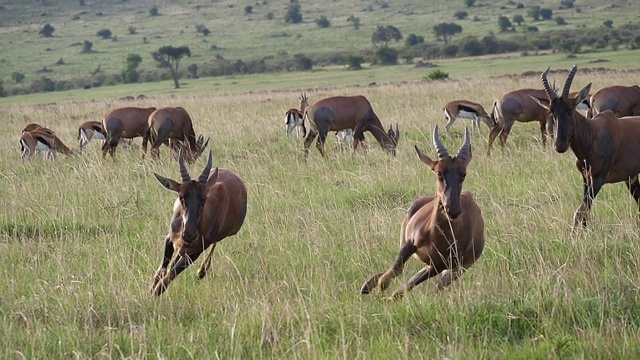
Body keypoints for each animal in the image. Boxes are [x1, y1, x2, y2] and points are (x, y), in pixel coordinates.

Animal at [151, 150, 249, 296]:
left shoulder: (196, 252)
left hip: (226, 234)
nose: (189, 235)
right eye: (181, 197)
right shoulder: (169, 239)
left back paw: (201, 272)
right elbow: (161, 270)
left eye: (204, 198)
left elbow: (168, 278)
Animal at [360, 125, 484, 300]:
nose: (453, 210)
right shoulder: (410, 244)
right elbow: (394, 271)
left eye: (463, 173)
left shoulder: (439, 266)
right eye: (439, 172)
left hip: (453, 270)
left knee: (426, 284)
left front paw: (384, 296)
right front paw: (376, 290)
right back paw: (366, 286)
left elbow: (401, 286)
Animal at [536, 64, 640, 228]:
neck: (593, 134)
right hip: (631, 177)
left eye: (570, 109)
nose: (560, 146)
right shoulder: (586, 179)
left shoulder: (599, 179)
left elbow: (579, 213)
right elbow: (585, 214)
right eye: (552, 111)